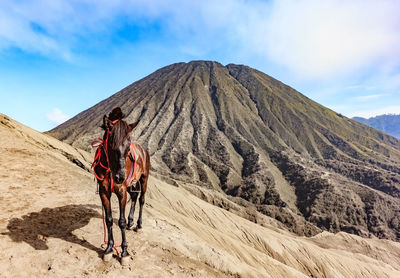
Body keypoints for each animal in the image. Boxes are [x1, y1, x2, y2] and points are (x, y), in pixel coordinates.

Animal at [92, 107, 150, 264]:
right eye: (111, 146)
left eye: (128, 148)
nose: (120, 177)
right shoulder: (104, 192)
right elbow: (109, 220)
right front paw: (109, 248)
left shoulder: (121, 192)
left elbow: (121, 222)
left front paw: (124, 252)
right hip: (131, 183)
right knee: (134, 197)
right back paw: (131, 222)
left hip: (144, 179)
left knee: (141, 199)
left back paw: (139, 224)